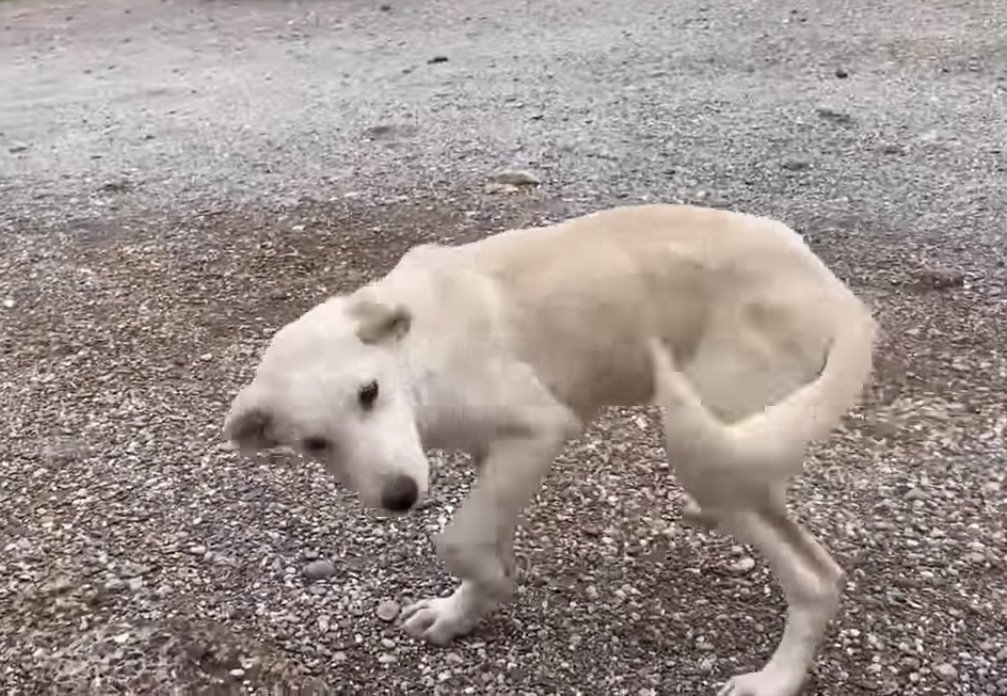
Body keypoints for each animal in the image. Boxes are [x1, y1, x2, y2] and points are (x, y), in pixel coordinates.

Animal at [224, 205, 878, 696]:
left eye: (368, 392)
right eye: (315, 443)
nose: (400, 498)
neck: (418, 343)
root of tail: (839, 296)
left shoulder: (539, 430)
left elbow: (456, 538)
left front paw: (488, 587)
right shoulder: (499, 455)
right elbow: (484, 537)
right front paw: (468, 606)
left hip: (706, 445)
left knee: (815, 577)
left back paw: (775, 680)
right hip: (733, 447)